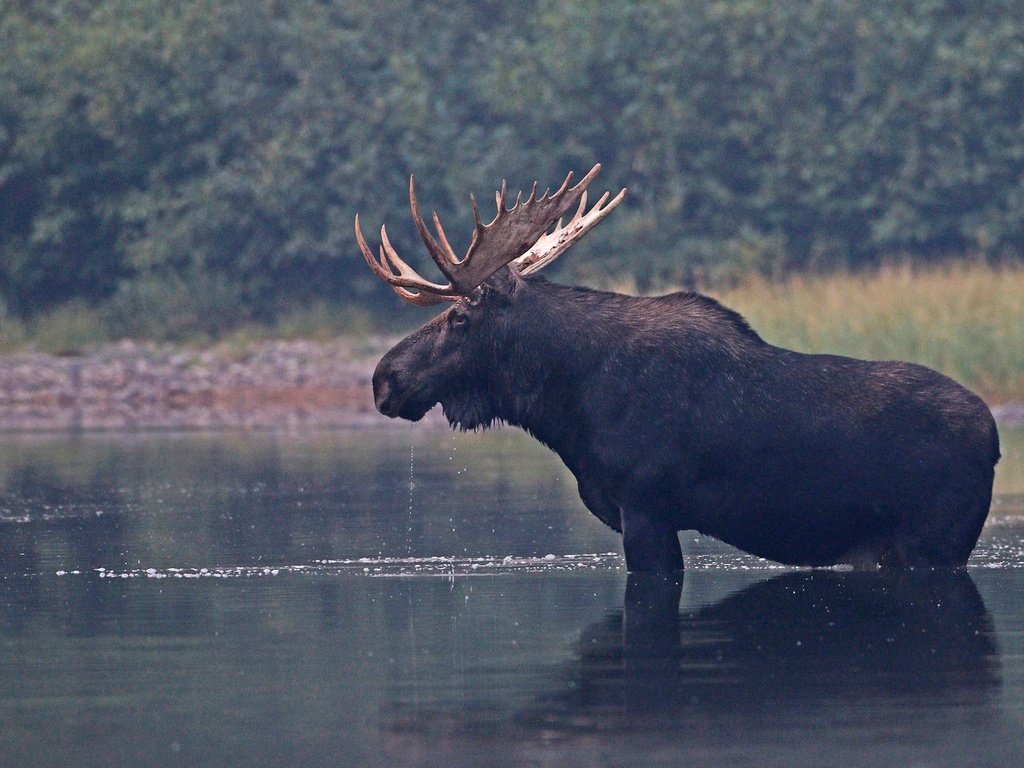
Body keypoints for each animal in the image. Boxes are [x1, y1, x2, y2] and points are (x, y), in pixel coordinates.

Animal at [354, 163, 999, 573]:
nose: (384, 378)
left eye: (461, 317)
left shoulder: (647, 506)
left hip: (933, 541)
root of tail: (994, 438)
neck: (567, 407)